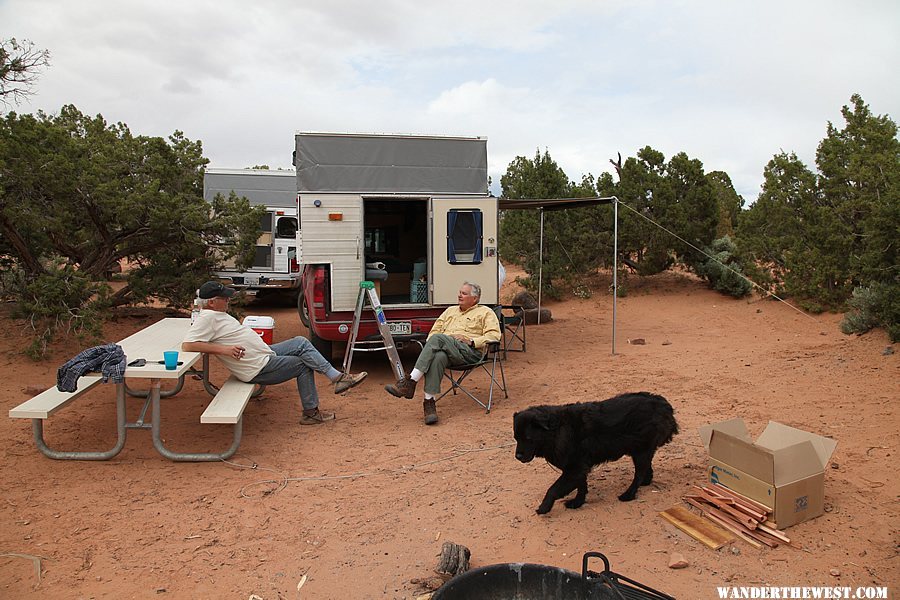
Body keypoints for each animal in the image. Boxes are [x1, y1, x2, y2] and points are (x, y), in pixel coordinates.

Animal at [512, 392, 676, 512]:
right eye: (516, 438)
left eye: (528, 438)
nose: (518, 456)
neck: (557, 430)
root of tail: (663, 404)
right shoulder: (578, 467)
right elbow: (581, 486)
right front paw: (577, 502)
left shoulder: (574, 468)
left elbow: (553, 489)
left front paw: (544, 507)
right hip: (639, 450)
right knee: (647, 467)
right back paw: (646, 482)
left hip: (640, 451)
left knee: (639, 473)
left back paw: (628, 494)